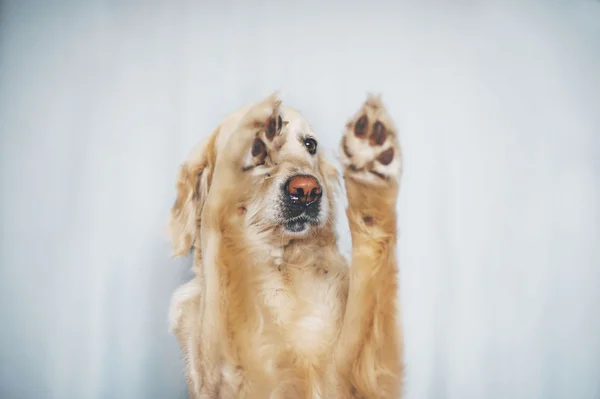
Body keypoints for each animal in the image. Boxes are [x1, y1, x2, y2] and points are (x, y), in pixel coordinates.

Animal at [166, 92, 406, 398]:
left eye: (310, 144)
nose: (306, 191)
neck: (282, 269)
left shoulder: (361, 381)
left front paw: (371, 165)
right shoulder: (237, 380)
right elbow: (218, 228)